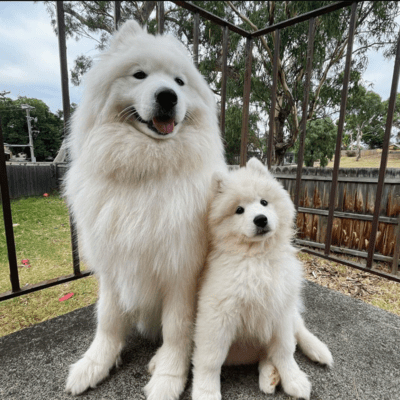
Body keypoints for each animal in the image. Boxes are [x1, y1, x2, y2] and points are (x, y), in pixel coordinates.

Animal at [65, 21, 227, 400]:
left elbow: (178, 327)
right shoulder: (113, 266)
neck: (147, 170)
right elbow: (108, 320)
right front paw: (95, 364)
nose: (168, 96)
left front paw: (169, 376)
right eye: (139, 75)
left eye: (180, 82)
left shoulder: (180, 271)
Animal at [192, 157, 332, 400]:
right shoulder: (217, 315)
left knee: (299, 329)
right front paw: (206, 391)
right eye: (239, 210)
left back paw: (318, 350)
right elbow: (210, 358)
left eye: (264, 202)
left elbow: (285, 349)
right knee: (266, 355)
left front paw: (294, 379)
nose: (260, 219)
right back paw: (270, 376)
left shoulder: (280, 310)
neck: (258, 258)